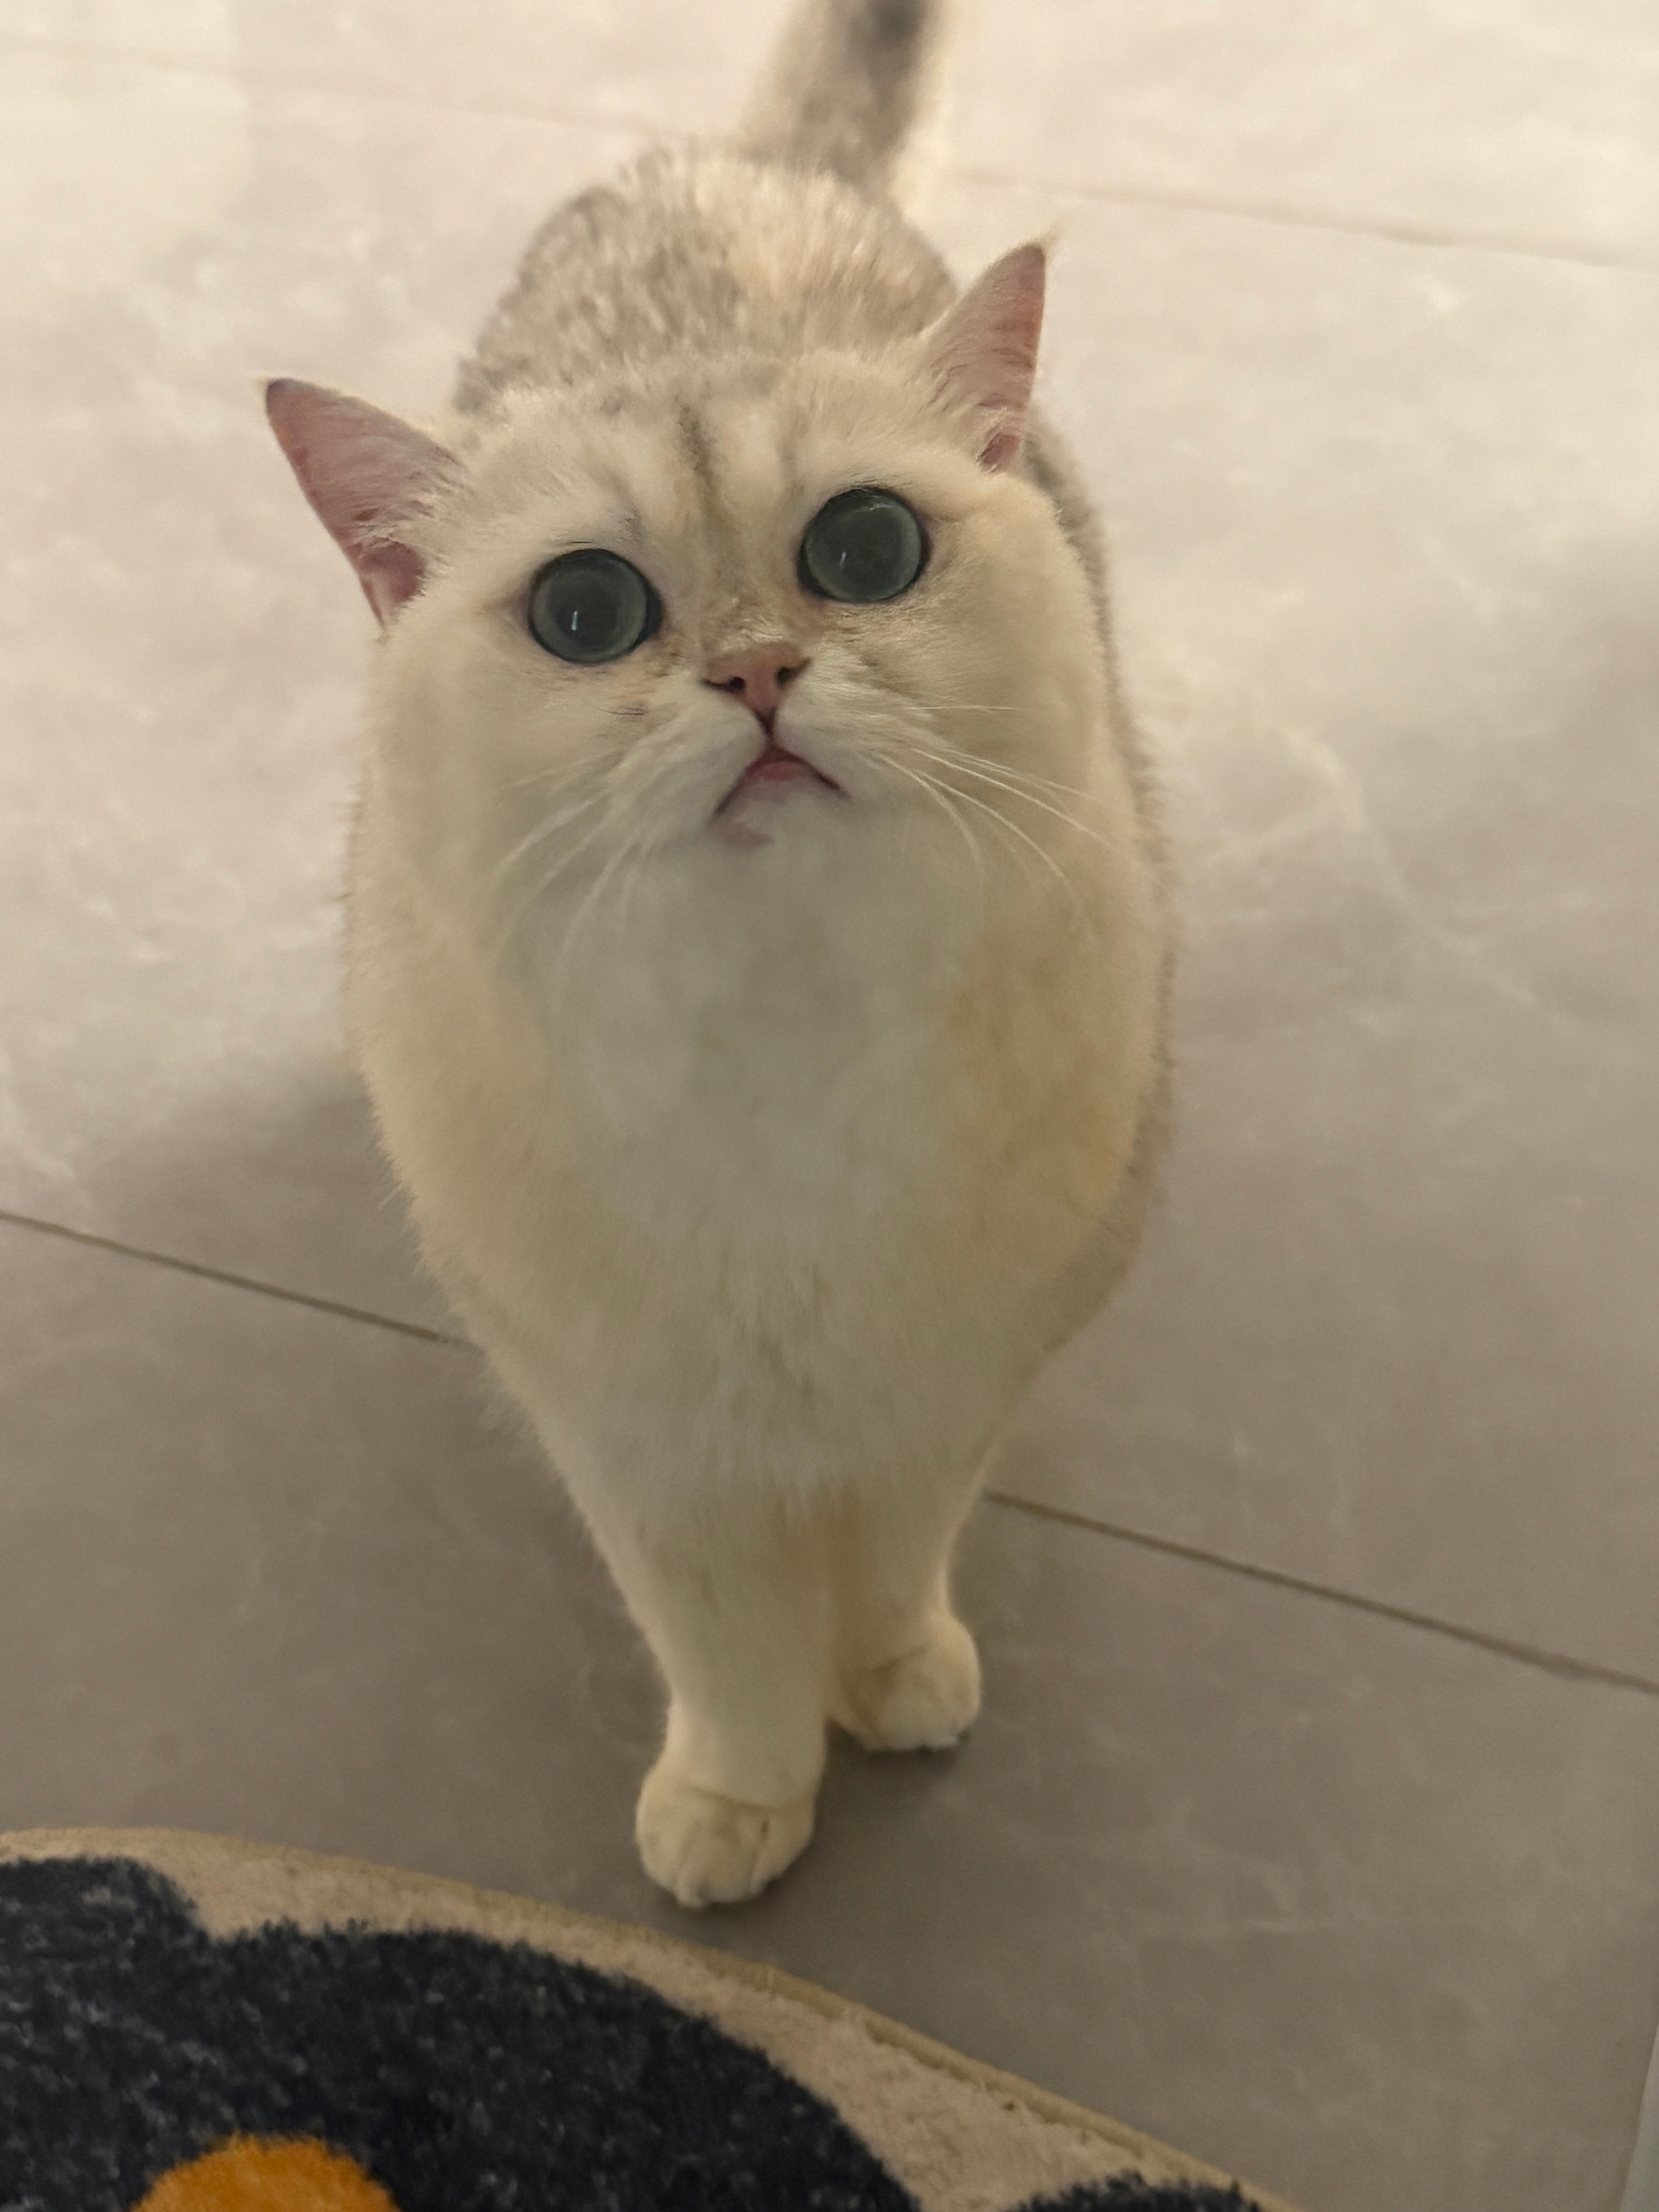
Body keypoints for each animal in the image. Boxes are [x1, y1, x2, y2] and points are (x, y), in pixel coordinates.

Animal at [266, 0, 1169, 1907]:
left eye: (867, 549)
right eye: (583, 613)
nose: (756, 674)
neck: (781, 1035)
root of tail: (745, 173)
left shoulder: (952, 1378)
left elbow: (896, 1549)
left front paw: (892, 1678)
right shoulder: (633, 1439)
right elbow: (719, 1641)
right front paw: (742, 1801)